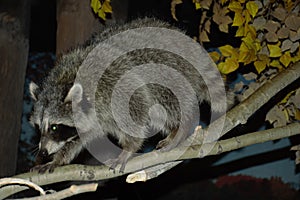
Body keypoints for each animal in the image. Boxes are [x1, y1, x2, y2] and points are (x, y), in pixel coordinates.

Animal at [29, 18, 232, 173]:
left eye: (54, 127)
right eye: (39, 127)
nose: (43, 152)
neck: (66, 80)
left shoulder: (113, 82)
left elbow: (137, 106)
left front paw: (129, 148)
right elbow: (81, 136)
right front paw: (59, 158)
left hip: (169, 68)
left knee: (166, 97)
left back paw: (181, 127)